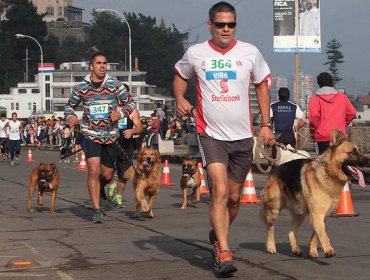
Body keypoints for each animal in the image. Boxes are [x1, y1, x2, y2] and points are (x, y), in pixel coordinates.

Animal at [260, 130, 368, 260]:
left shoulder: (321, 216)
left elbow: (316, 235)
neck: (328, 171)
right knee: (270, 228)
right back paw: (271, 246)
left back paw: (296, 249)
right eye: (352, 152)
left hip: (299, 215)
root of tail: (274, 170)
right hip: (274, 210)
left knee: (291, 232)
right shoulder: (317, 215)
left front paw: (312, 250)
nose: (368, 161)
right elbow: (323, 234)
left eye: (359, 151)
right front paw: (329, 250)